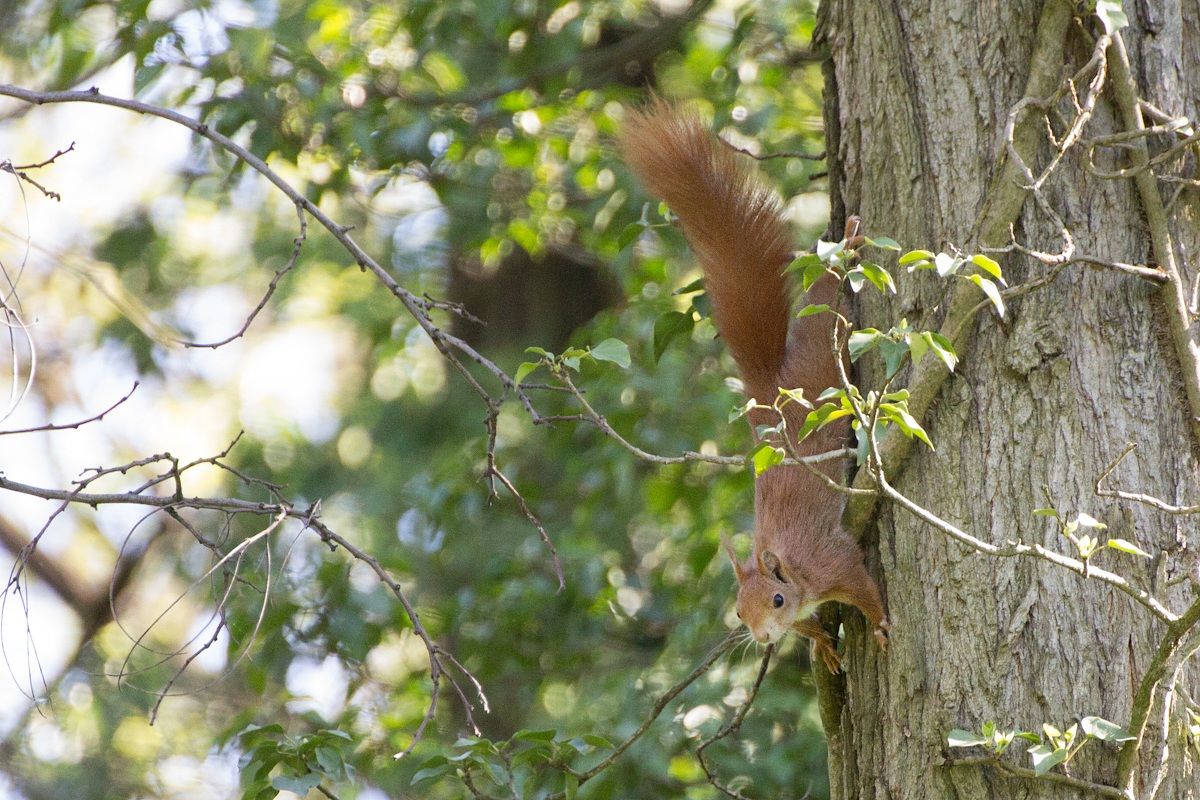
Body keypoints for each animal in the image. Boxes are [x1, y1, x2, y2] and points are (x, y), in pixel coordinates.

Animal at [619, 100, 888, 671]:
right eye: (739, 613)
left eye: (778, 599)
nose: (763, 638)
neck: (795, 572)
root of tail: (773, 392)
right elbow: (812, 627)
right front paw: (819, 643)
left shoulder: (833, 562)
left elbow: (864, 588)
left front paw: (877, 624)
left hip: (826, 346)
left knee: (828, 297)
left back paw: (846, 246)